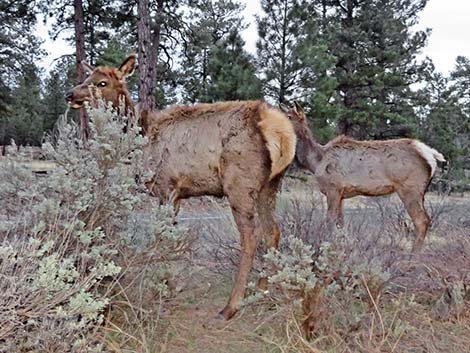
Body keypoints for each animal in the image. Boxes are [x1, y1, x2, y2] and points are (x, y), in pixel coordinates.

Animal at [65, 54, 298, 320]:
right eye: (86, 77)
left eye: (102, 83)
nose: (70, 94)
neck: (141, 136)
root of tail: (280, 129)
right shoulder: (176, 194)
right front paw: (169, 284)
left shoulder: (167, 187)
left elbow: (164, 236)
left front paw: (165, 286)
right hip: (270, 184)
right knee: (273, 231)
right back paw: (263, 290)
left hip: (239, 183)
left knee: (251, 235)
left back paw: (231, 305)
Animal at [284, 100, 446, 252]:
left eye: (289, 117)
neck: (316, 162)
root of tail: (431, 155)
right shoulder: (341, 194)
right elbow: (340, 224)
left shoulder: (333, 189)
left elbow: (330, 221)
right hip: (419, 191)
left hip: (410, 188)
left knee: (422, 220)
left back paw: (413, 254)